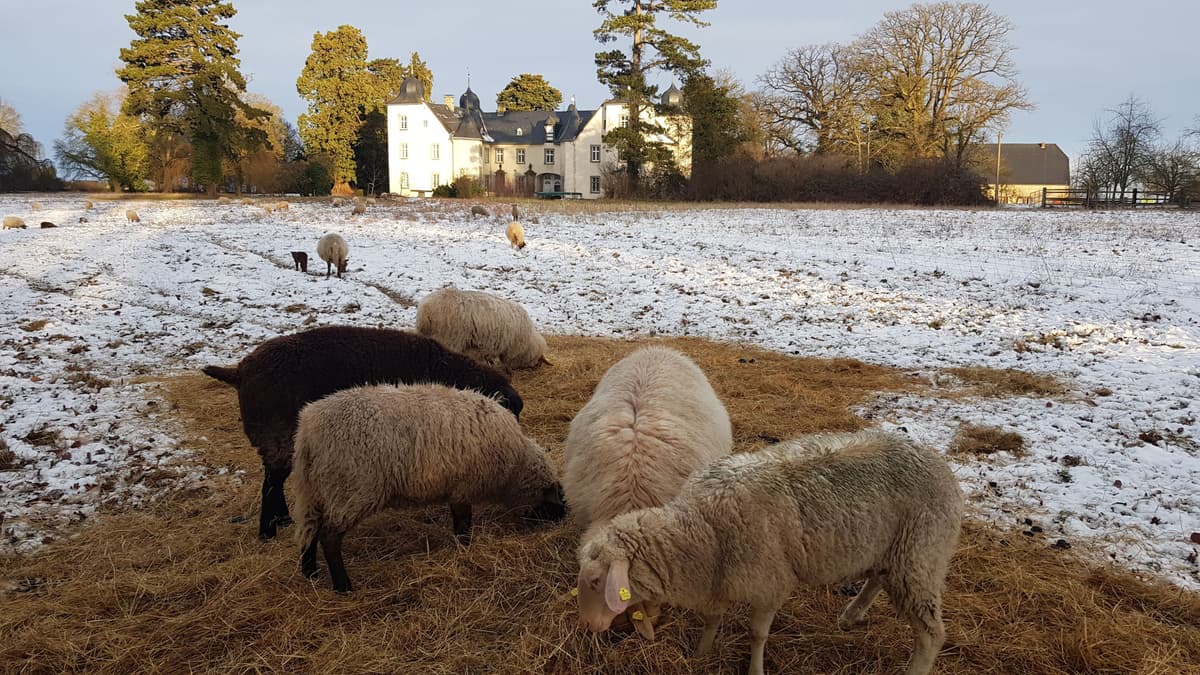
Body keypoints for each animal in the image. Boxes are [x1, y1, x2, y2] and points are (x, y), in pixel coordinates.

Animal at [201, 324, 524, 540]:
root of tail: (241, 371)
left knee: (273, 480)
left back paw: (282, 520)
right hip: (278, 435)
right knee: (271, 482)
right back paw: (268, 531)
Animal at [294, 383, 566, 592]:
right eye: (553, 503)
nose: (560, 521)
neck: (515, 463)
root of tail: (308, 431)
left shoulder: (457, 488)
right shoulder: (463, 487)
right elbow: (463, 526)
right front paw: (465, 550)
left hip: (314, 490)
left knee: (310, 530)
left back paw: (310, 573)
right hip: (352, 488)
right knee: (329, 537)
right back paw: (343, 586)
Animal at [576, 430, 963, 675]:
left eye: (596, 581)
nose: (587, 626)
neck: (702, 528)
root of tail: (939, 463)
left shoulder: (768, 584)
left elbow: (757, 635)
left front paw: (755, 669)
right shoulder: (719, 578)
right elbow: (712, 620)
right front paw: (701, 653)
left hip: (921, 554)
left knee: (931, 633)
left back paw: (915, 666)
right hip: (892, 550)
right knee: (877, 579)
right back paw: (851, 614)